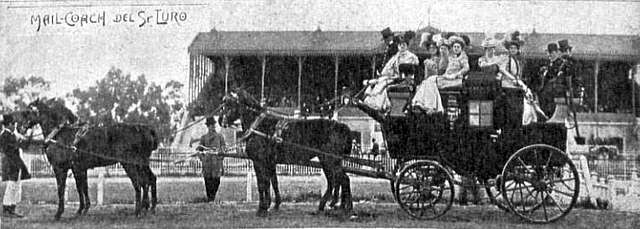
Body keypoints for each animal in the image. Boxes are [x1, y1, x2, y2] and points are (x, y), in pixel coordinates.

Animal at [21, 99, 160, 220]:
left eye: (28, 111)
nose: (21, 127)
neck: (60, 135)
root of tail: (145, 129)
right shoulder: (79, 168)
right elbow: (82, 187)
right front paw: (82, 210)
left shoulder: (61, 168)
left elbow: (61, 190)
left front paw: (59, 213)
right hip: (141, 164)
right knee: (149, 180)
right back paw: (149, 208)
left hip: (130, 164)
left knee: (138, 184)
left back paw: (138, 211)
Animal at [218, 90, 352, 216]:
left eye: (229, 103)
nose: (220, 120)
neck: (259, 127)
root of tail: (342, 127)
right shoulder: (270, 162)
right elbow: (273, 182)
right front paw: (273, 205)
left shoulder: (259, 162)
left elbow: (262, 184)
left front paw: (262, 208)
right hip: (329, 161)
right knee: (337, 180)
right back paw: (334, 206)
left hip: (329, 160)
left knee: (342, 179)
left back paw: (341, 207)